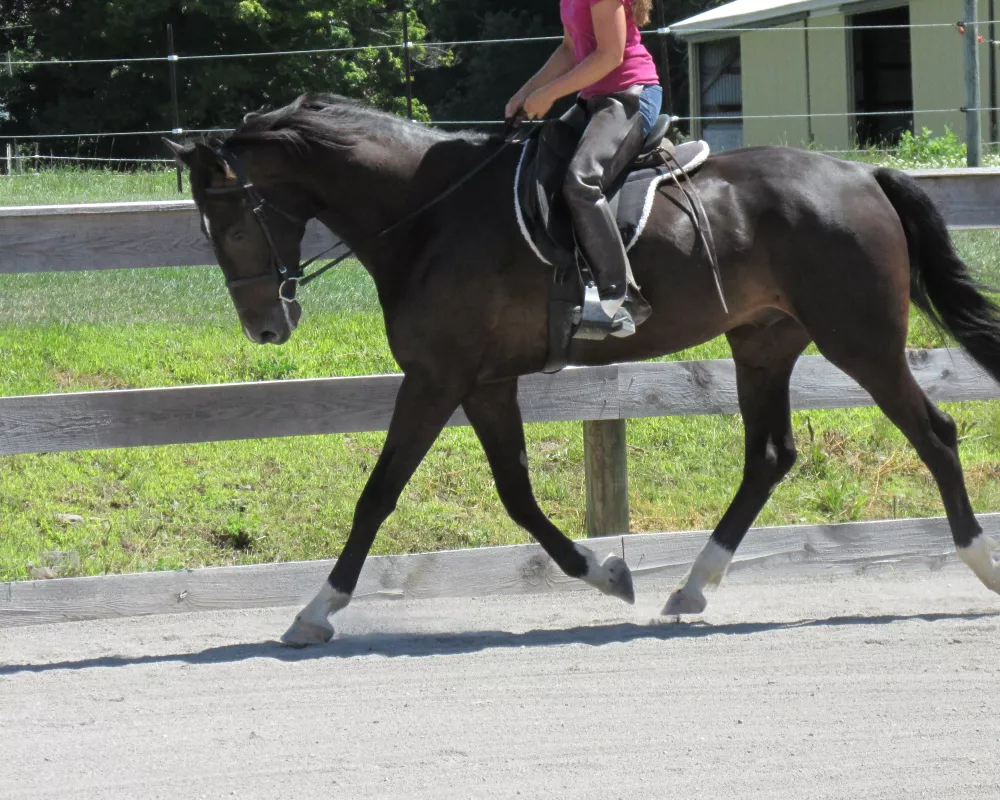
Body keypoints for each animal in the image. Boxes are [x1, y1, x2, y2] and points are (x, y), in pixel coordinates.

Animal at [168, 94, 996, 648]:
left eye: (232, 223)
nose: (267, 327)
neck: (428, 214)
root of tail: (863, 176)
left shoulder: (437, 378)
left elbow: (378, 495)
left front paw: (316, 611)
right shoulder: (483, 382)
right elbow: (516, 495)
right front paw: (605, 573)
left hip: (860, 341)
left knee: (935, 434)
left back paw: (982, 565)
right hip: (763, 341)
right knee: (769, 456)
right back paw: (691, 589)